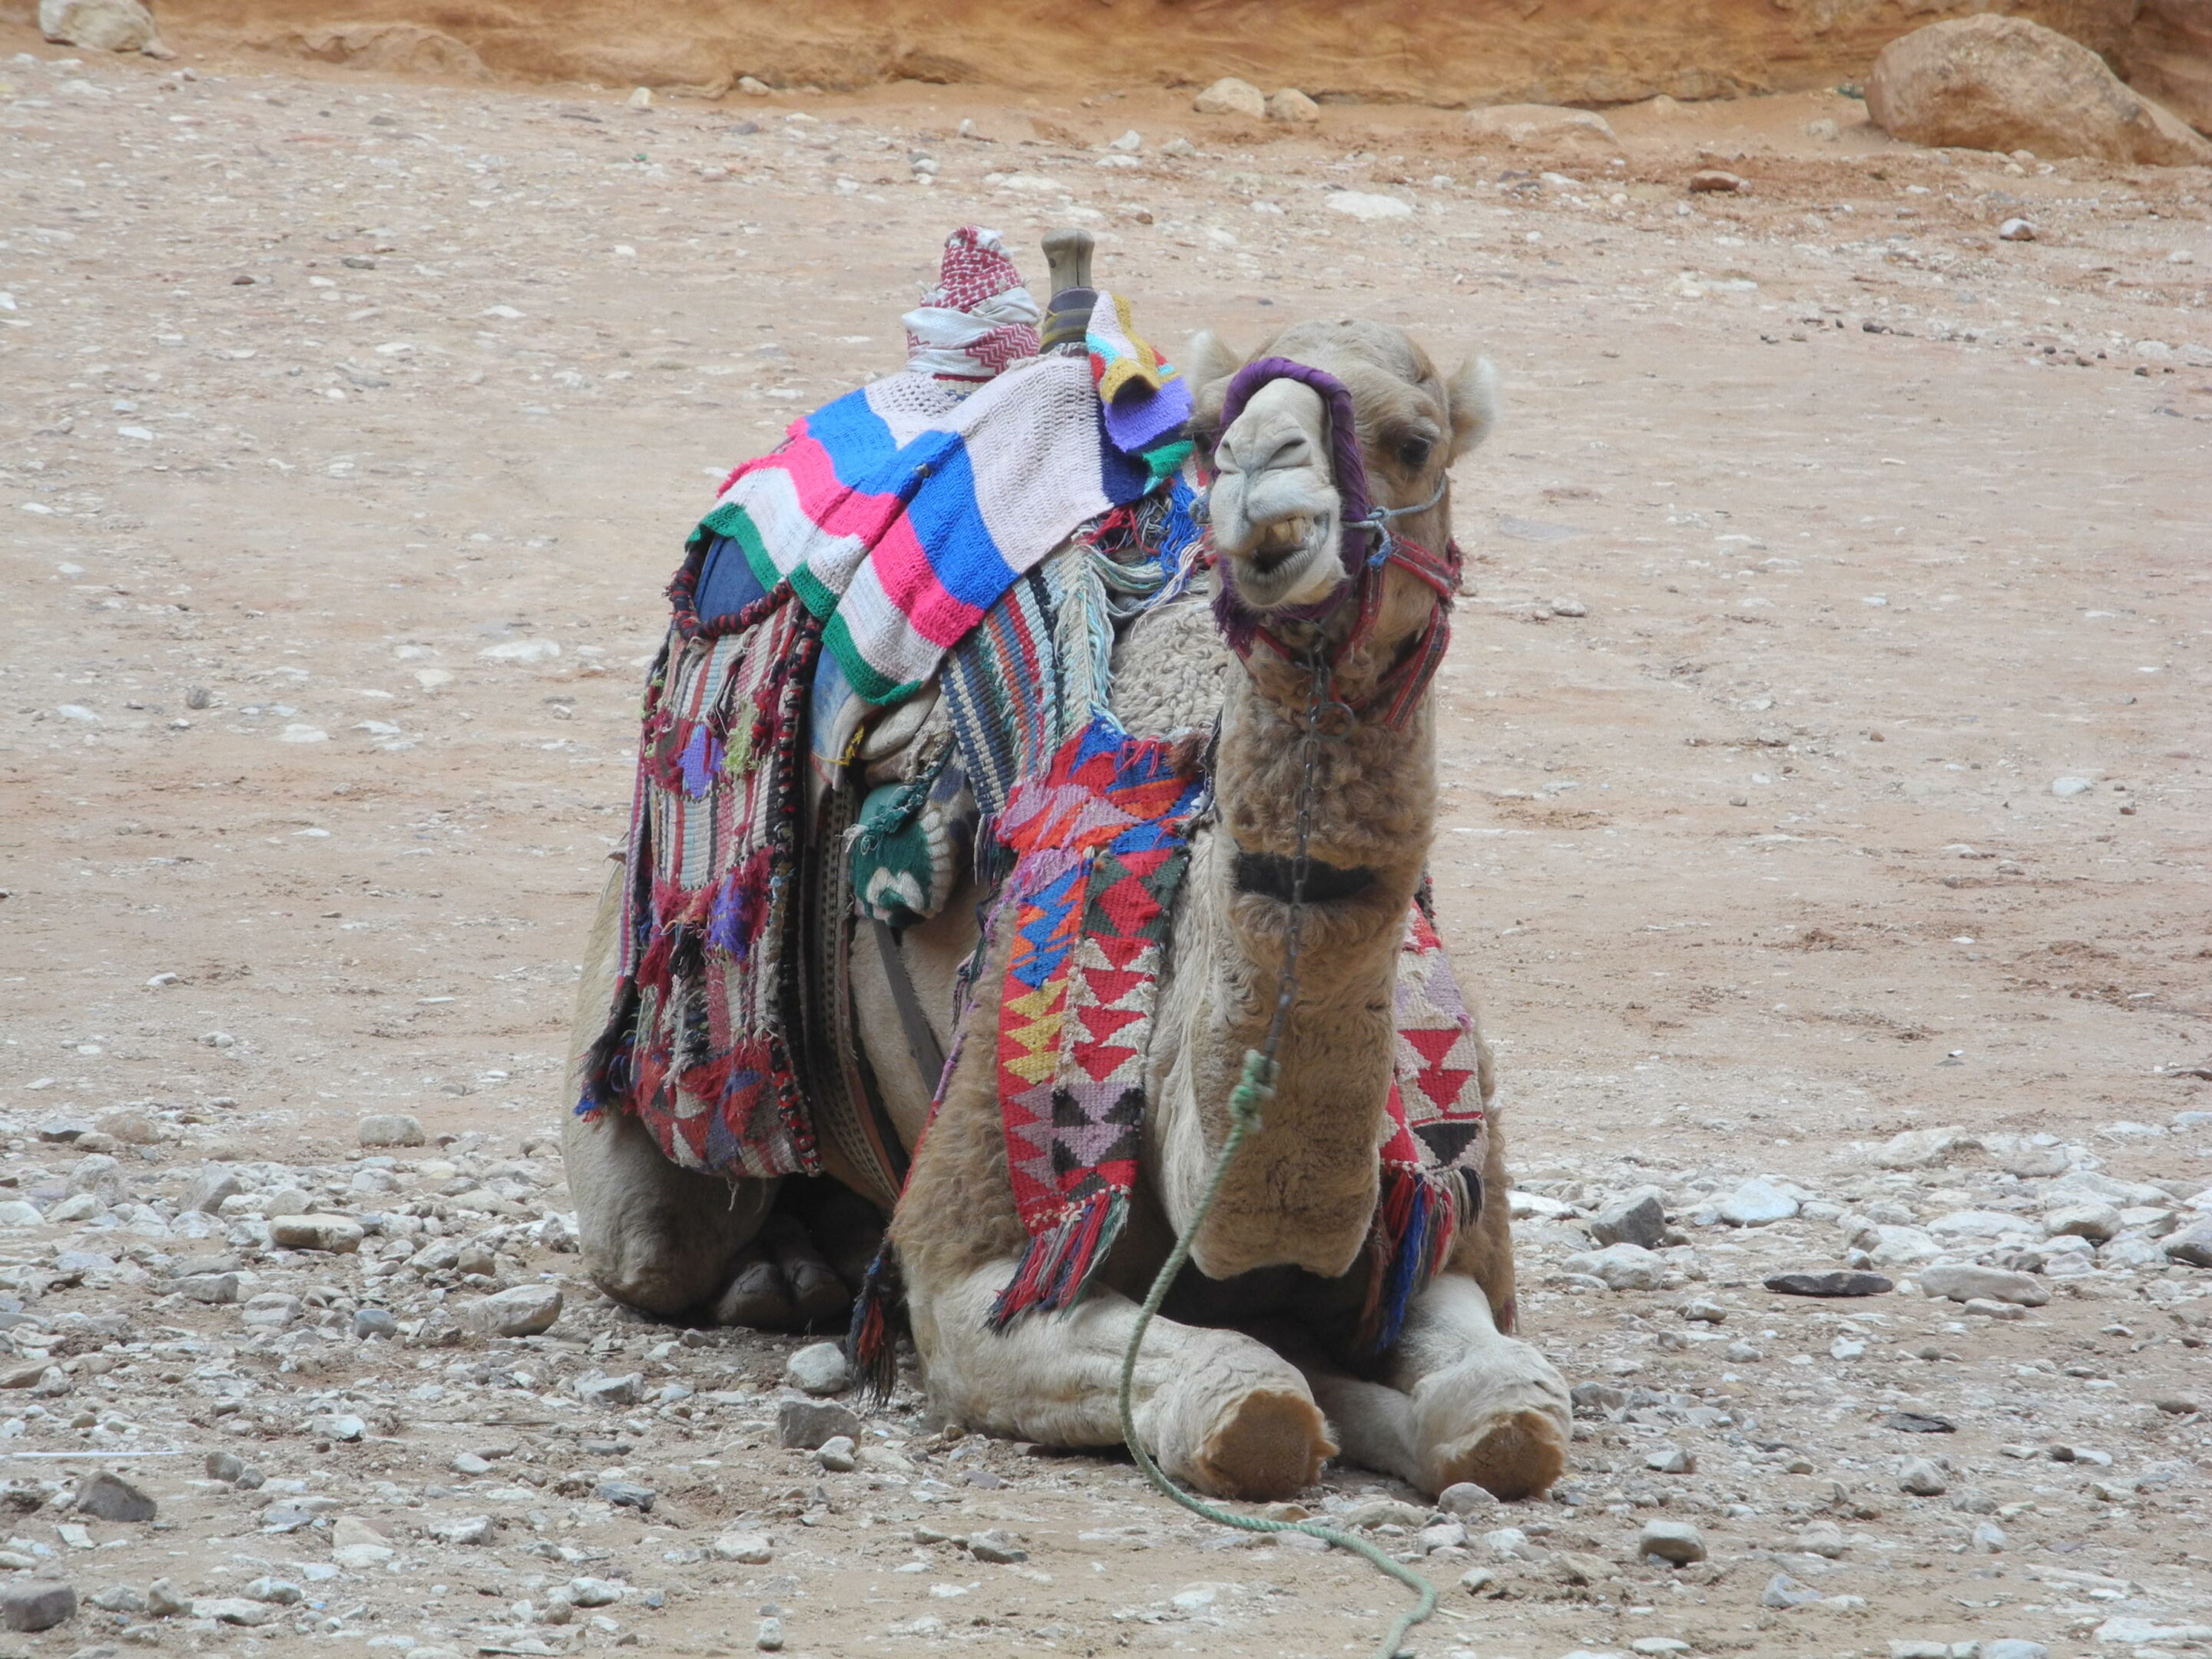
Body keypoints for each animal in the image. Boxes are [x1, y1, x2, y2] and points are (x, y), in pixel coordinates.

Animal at [566, 312, 1575, 1504]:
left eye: (1416, 441)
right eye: (1214, 431)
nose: (1263, 480)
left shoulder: (1447, 1223)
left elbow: (1505, 1417)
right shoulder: (981, 1267)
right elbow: (1248, 1403)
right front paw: (1299, 1393)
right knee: (656, 1236)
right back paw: (776, 1277)